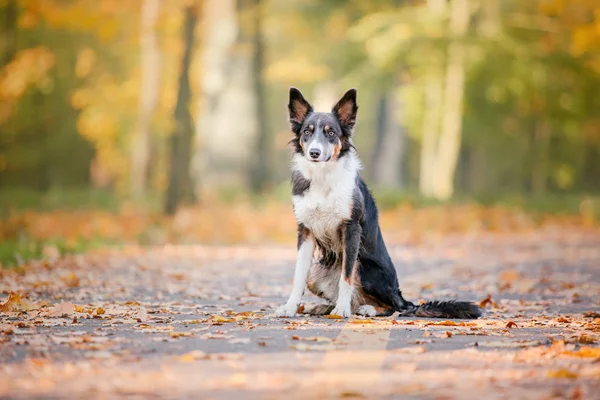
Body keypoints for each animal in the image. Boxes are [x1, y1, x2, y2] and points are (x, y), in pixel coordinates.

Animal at [276, 87, 482, 318]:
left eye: (331, 133)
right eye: (307, 132)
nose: (314, 152)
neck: (323, 178)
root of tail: (402, 297)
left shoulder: (351, 229)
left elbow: (346, 277)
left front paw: (342, 310)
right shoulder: (305, 230)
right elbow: (298, 277)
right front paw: (290, 307)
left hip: (366, 268)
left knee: (394, 307)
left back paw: (366, 309)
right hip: (316, 272)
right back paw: (321, 307)